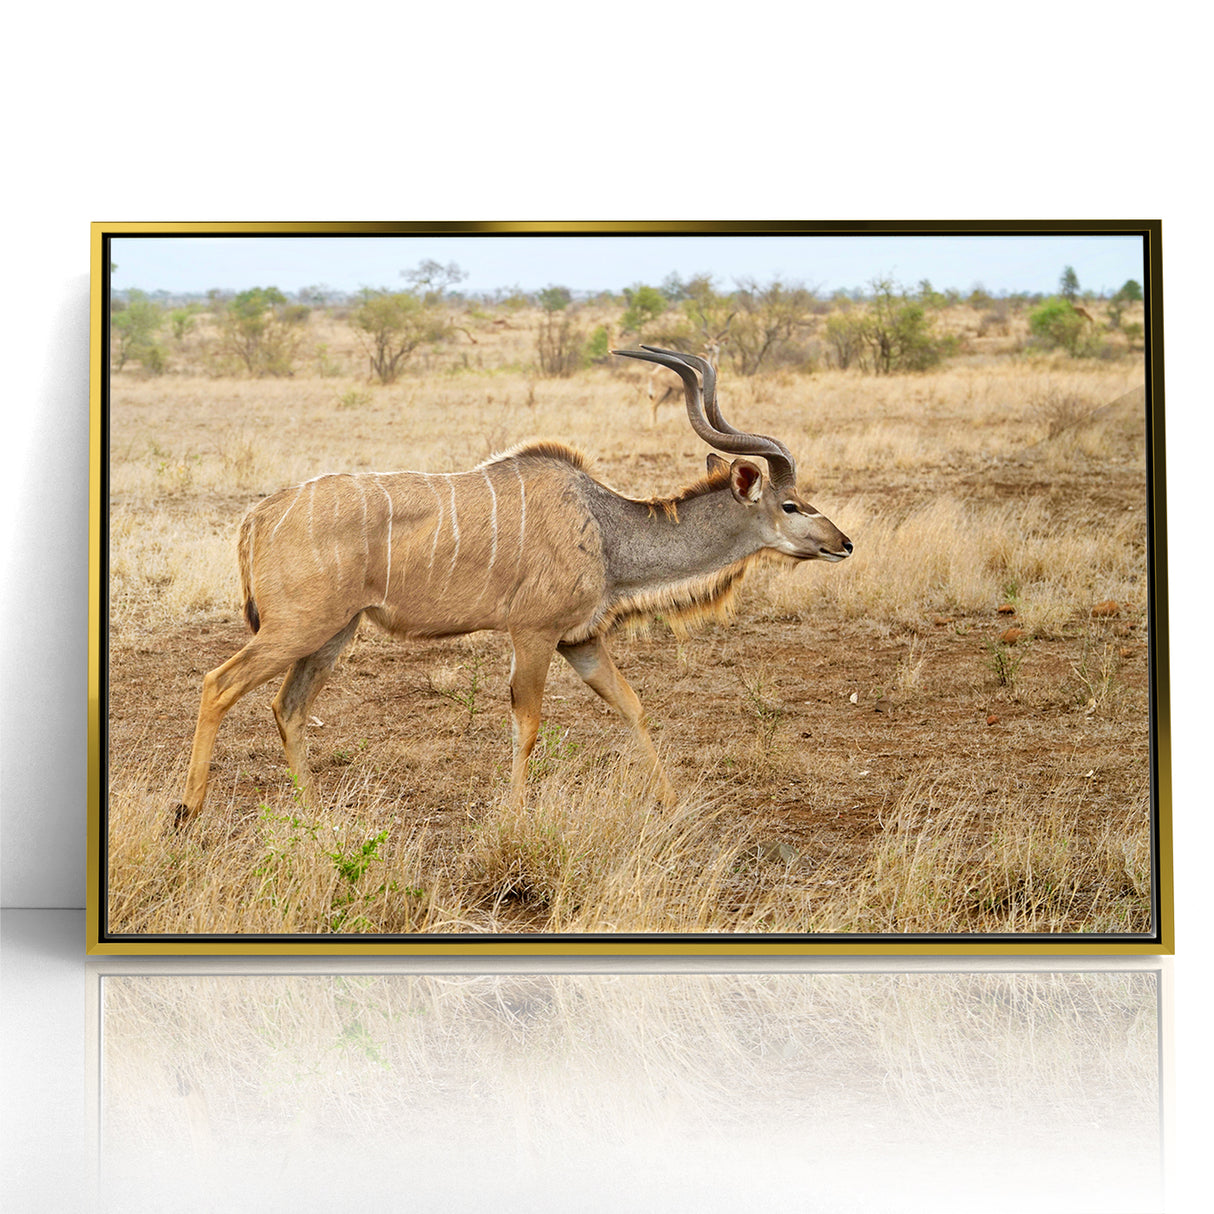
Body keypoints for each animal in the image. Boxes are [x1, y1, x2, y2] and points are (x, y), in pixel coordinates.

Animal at [175, 347, 852, 828]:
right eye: (791, 505)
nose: (842, 543)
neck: (603, 527)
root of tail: (259, 515)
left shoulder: (580, 640)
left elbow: (632, 705)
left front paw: (673, 803)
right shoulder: (533, 633)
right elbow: (528, 723)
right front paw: (518, 817)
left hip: (334, 633)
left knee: (288, 707)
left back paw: (314, 818)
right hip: (298, 627)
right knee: (219, 683)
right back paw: (188, 813)